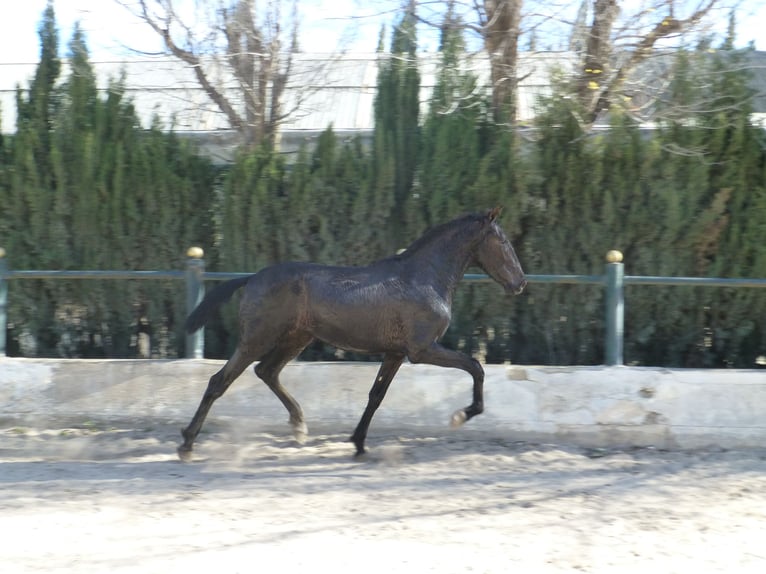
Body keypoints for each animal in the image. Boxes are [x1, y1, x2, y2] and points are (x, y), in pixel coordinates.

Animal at [180, 209, 528, 462]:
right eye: (503, 243)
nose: (521, 283)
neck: (424, 278)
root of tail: (252, 278)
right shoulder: (422, 350)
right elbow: (475, 367)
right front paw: (461, 415)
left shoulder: (395, 353)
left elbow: (376, 395)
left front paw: (359, 444)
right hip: (258, 338)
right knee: (221, 380)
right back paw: (186, 444)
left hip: (296, 338)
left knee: (266, 371)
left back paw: (299, 426)